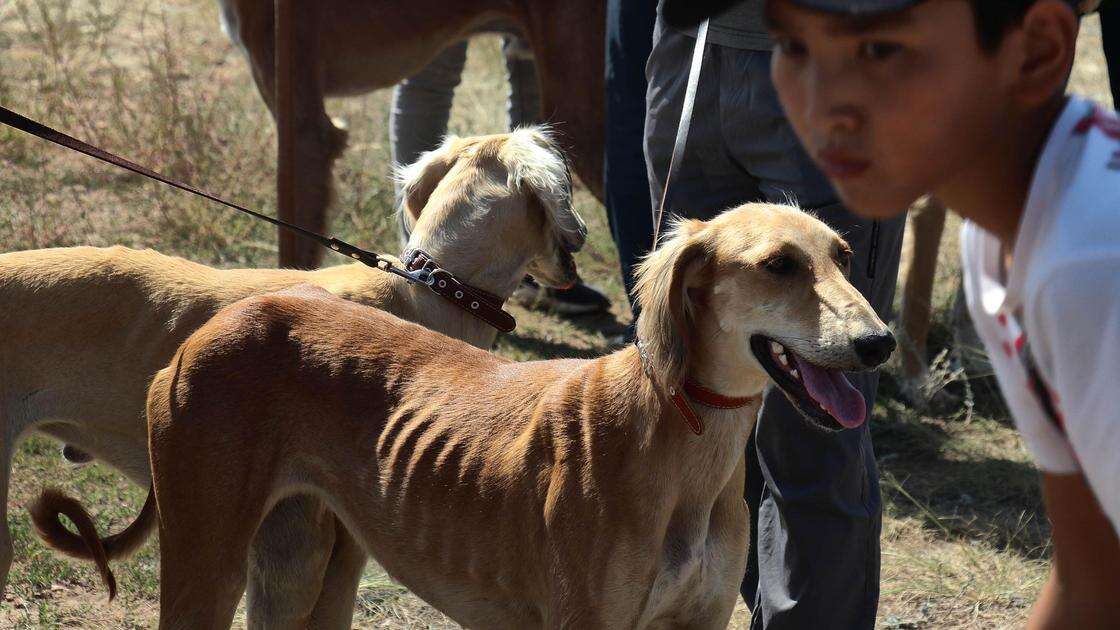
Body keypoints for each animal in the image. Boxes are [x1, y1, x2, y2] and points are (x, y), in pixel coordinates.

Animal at [45, 201, 891, 627]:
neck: (677, 435)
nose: (879, 343)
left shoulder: (697, 621)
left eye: (846, 256)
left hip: (298, 564)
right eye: (778, 264)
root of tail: (216, 324)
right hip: (208, 557)